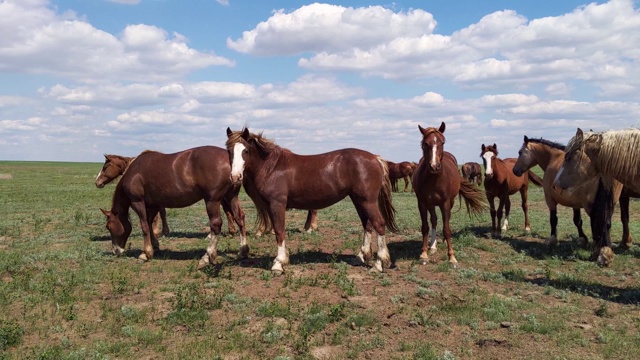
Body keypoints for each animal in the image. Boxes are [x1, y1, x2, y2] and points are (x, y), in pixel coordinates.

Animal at [99, 145, 248, 268]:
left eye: (108, 226)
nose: (116, 250)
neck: (134, 171)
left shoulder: (138, 202)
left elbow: (145, 226)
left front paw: (146, 253)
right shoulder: (154, 204)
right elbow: (150, 223)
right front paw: (154, 247)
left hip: (213, 200)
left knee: (216, 224)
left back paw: (207, 256)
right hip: (231, 197)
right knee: (239, 218)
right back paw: (243, 250)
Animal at [224, 128, 396, 274]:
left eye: (245, 150)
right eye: (229, 151)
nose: (235, 177)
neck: (272, 168)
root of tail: (375, 158)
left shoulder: (277, 204)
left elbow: (279, 232)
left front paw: (278, 264)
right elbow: (278, 230)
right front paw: (283, 259)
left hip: (368, 201)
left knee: (379, 224)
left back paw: (379, 264)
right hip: (359, 200)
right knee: (367, 224)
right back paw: (360, 257)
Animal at [412, 124, 488, 268]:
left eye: (442, 142)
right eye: (425, 143)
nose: (434, 166)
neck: (434, 179)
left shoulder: (445, 203)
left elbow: (447, 229)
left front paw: (452, 257)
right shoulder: (422, 203)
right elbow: (425, 227)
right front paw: (424, 254)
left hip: (449, 203)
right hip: (431, 204)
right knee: (434, 220)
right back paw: (433, 246)